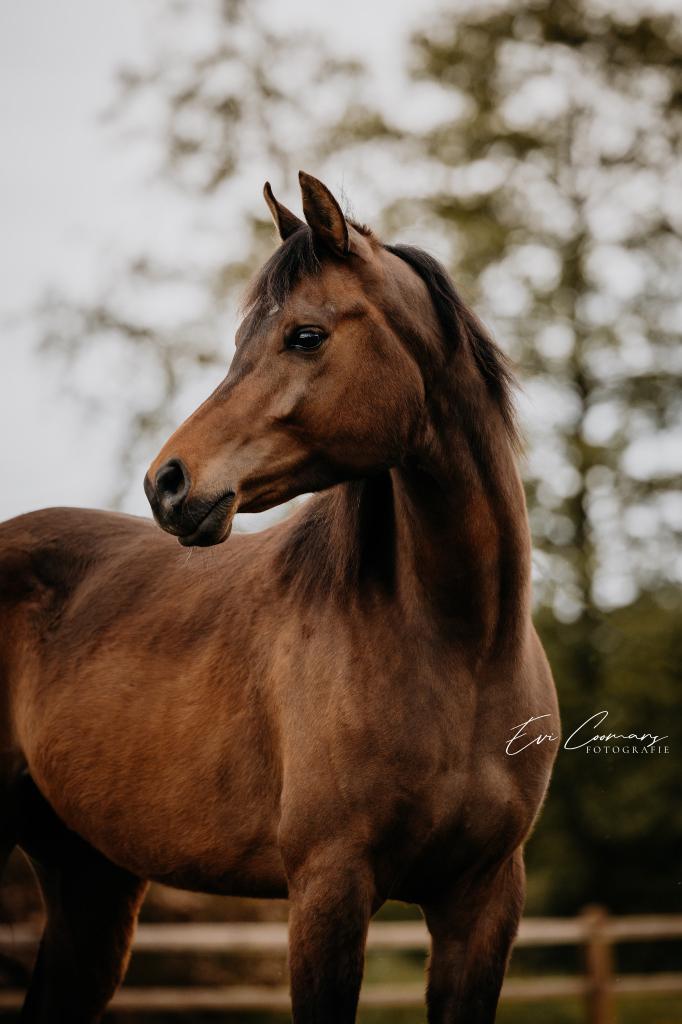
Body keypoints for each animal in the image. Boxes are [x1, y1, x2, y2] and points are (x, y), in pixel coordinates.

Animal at [0, 172, 559, 1023]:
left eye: (304, 336)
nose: (168, 484)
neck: (459, 647)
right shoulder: (329, 889)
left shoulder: (484, 902)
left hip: (92, 885)